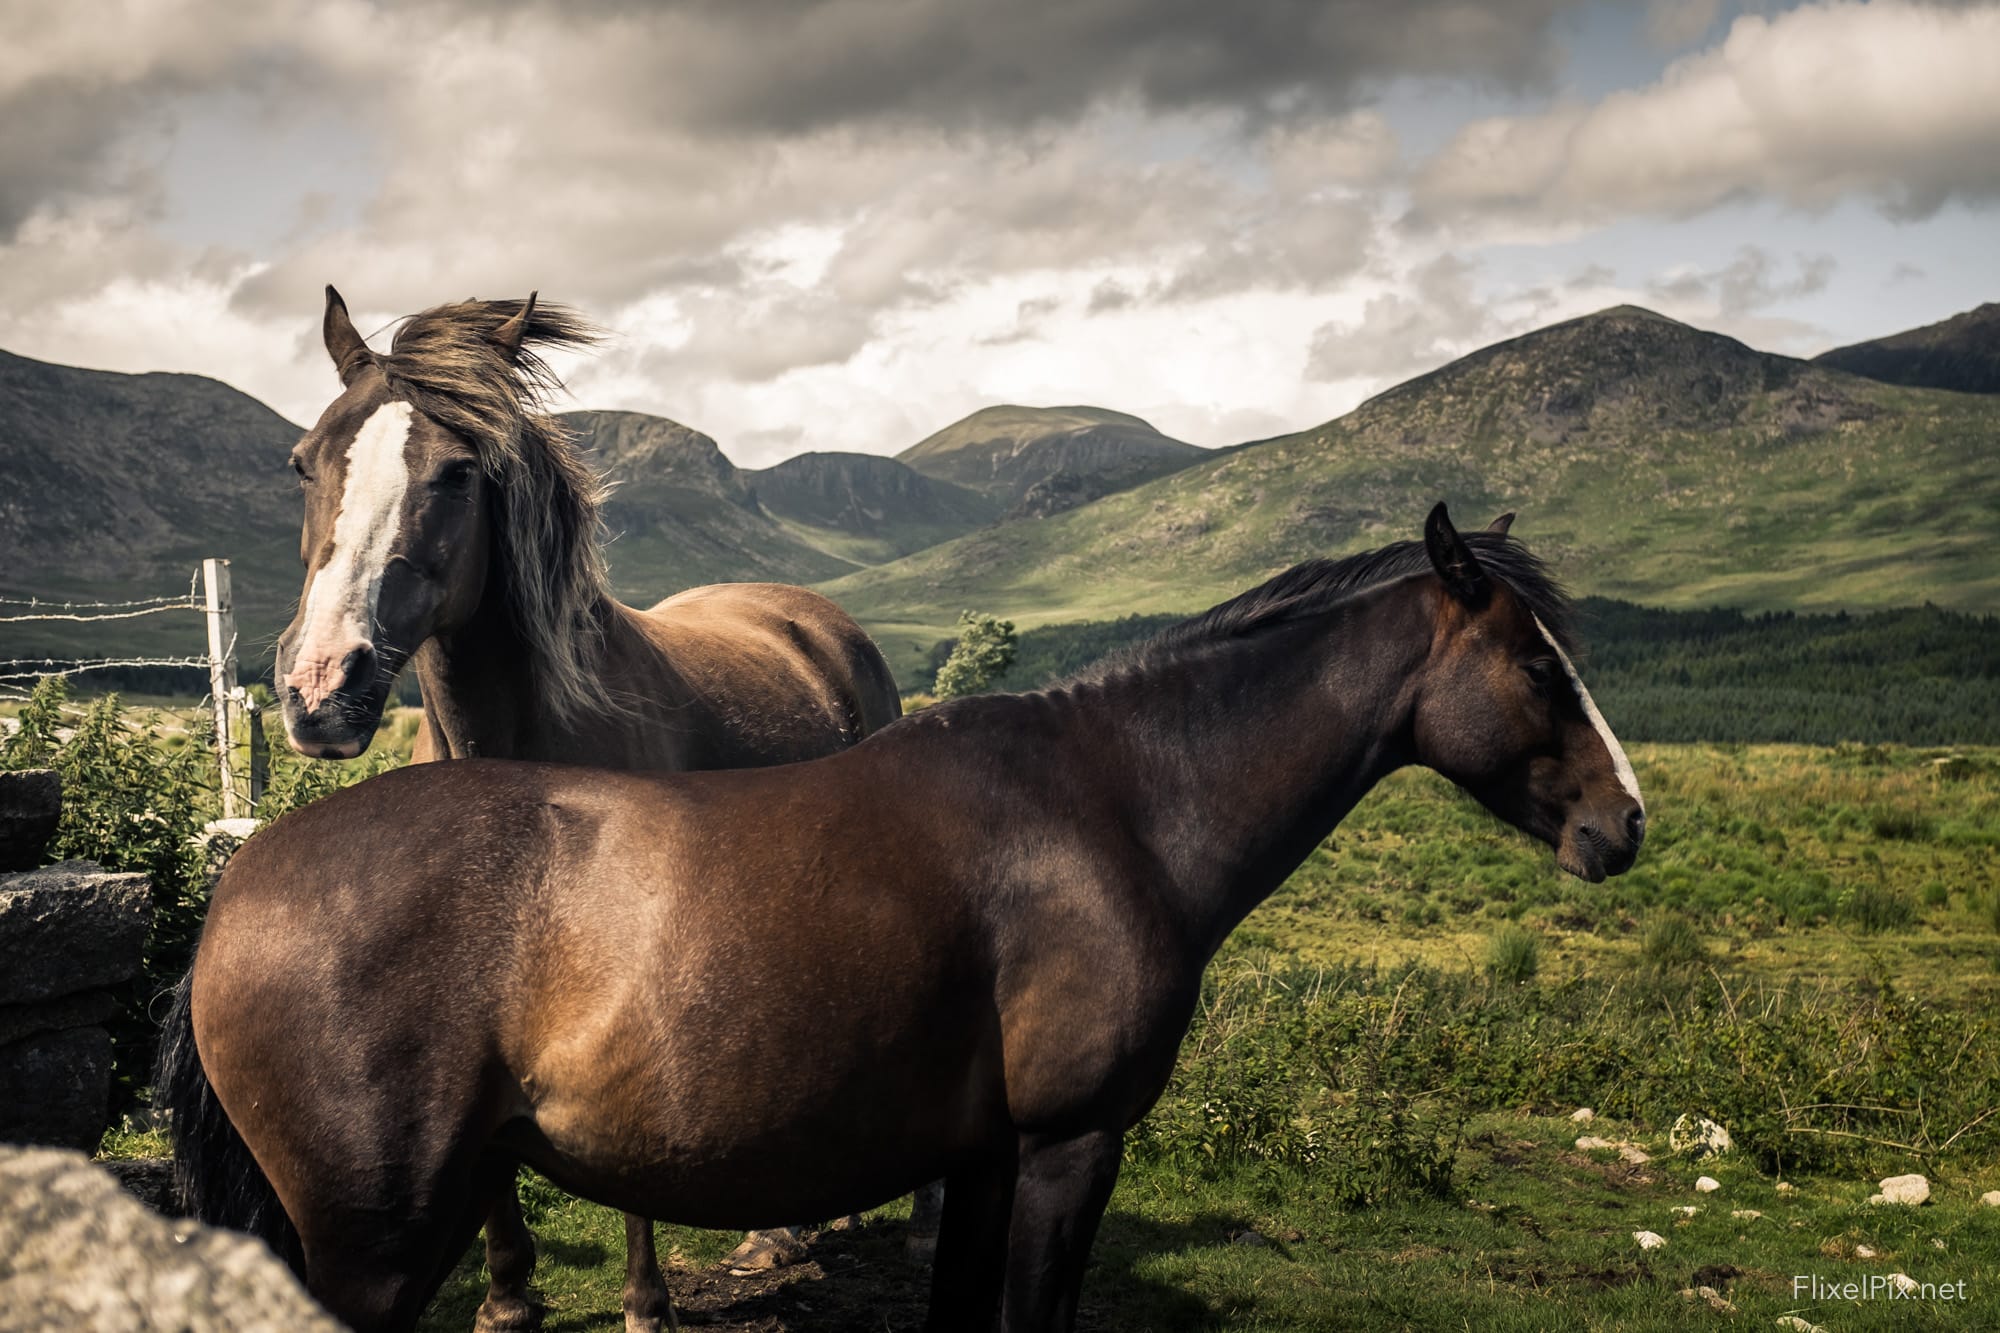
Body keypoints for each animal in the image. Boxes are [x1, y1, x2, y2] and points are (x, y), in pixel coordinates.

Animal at [164, 504, 1645, 1333]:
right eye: (1537, 666)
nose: (1623, 824)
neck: (1113, 804)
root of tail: (247, 881)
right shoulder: (1065, 1148)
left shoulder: (984, 1161)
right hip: (370, 1247)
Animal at [265, 287, 920, 1330]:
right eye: (304, 460)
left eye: (458, 472)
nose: (324, 684)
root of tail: (813, 618)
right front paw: (505, 1299)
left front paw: (647, 1302)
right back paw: (772, 1235)